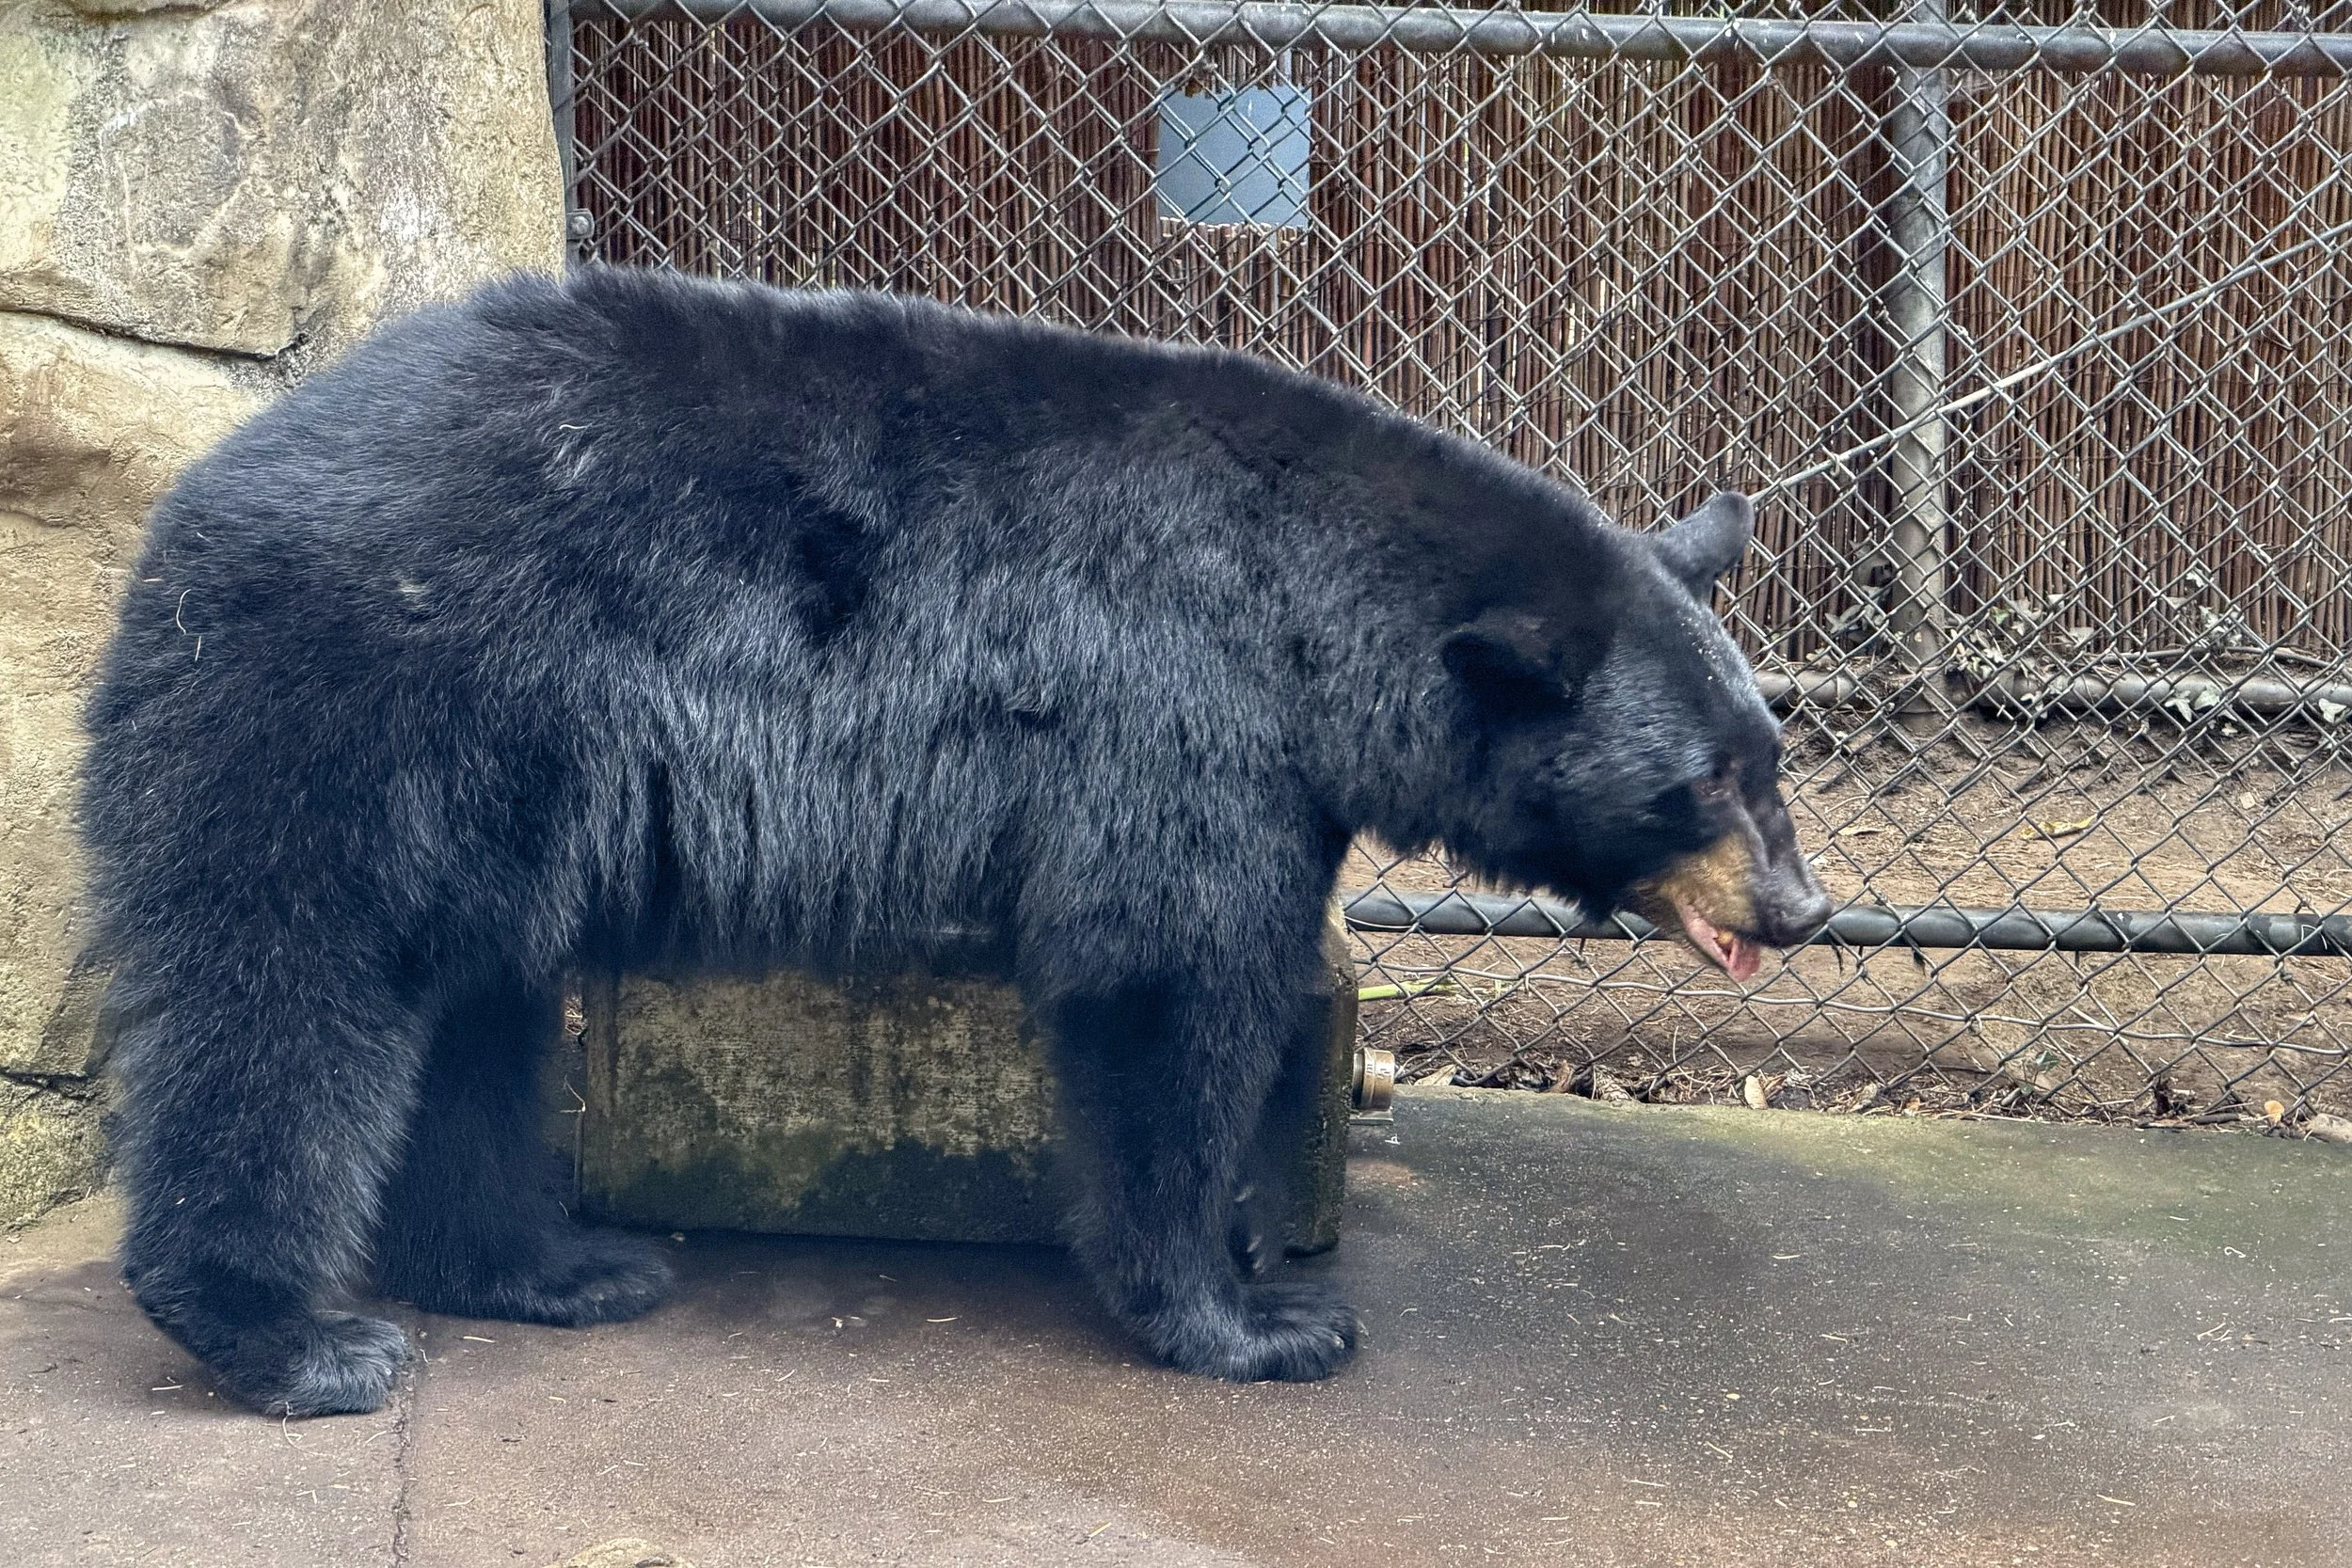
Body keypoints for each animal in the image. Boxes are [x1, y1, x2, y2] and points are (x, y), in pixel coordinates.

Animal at [77, 265, 1831, 1417]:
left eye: (1773, 757)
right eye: (1701, 784)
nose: (1803, 906)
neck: (1316, 613)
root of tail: (190, 505)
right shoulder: (1181, 715)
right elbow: (1165, 978)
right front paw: (1253, 1317)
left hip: (491, 791)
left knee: (474, 1005)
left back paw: (550, 1265)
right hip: (355, 703)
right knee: (285, 989)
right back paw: (291, 1336)